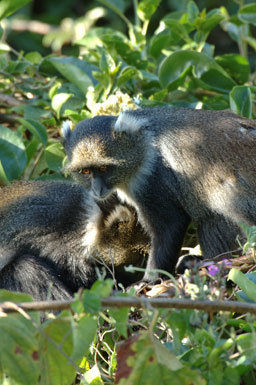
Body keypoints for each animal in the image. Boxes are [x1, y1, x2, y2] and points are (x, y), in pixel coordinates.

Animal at [61, 106, 256, 280]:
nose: (97, 189)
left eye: (103, 168)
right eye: (86, 171)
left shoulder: (152, 179)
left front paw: (149, 281)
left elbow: (170, 225)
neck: (142, 143)